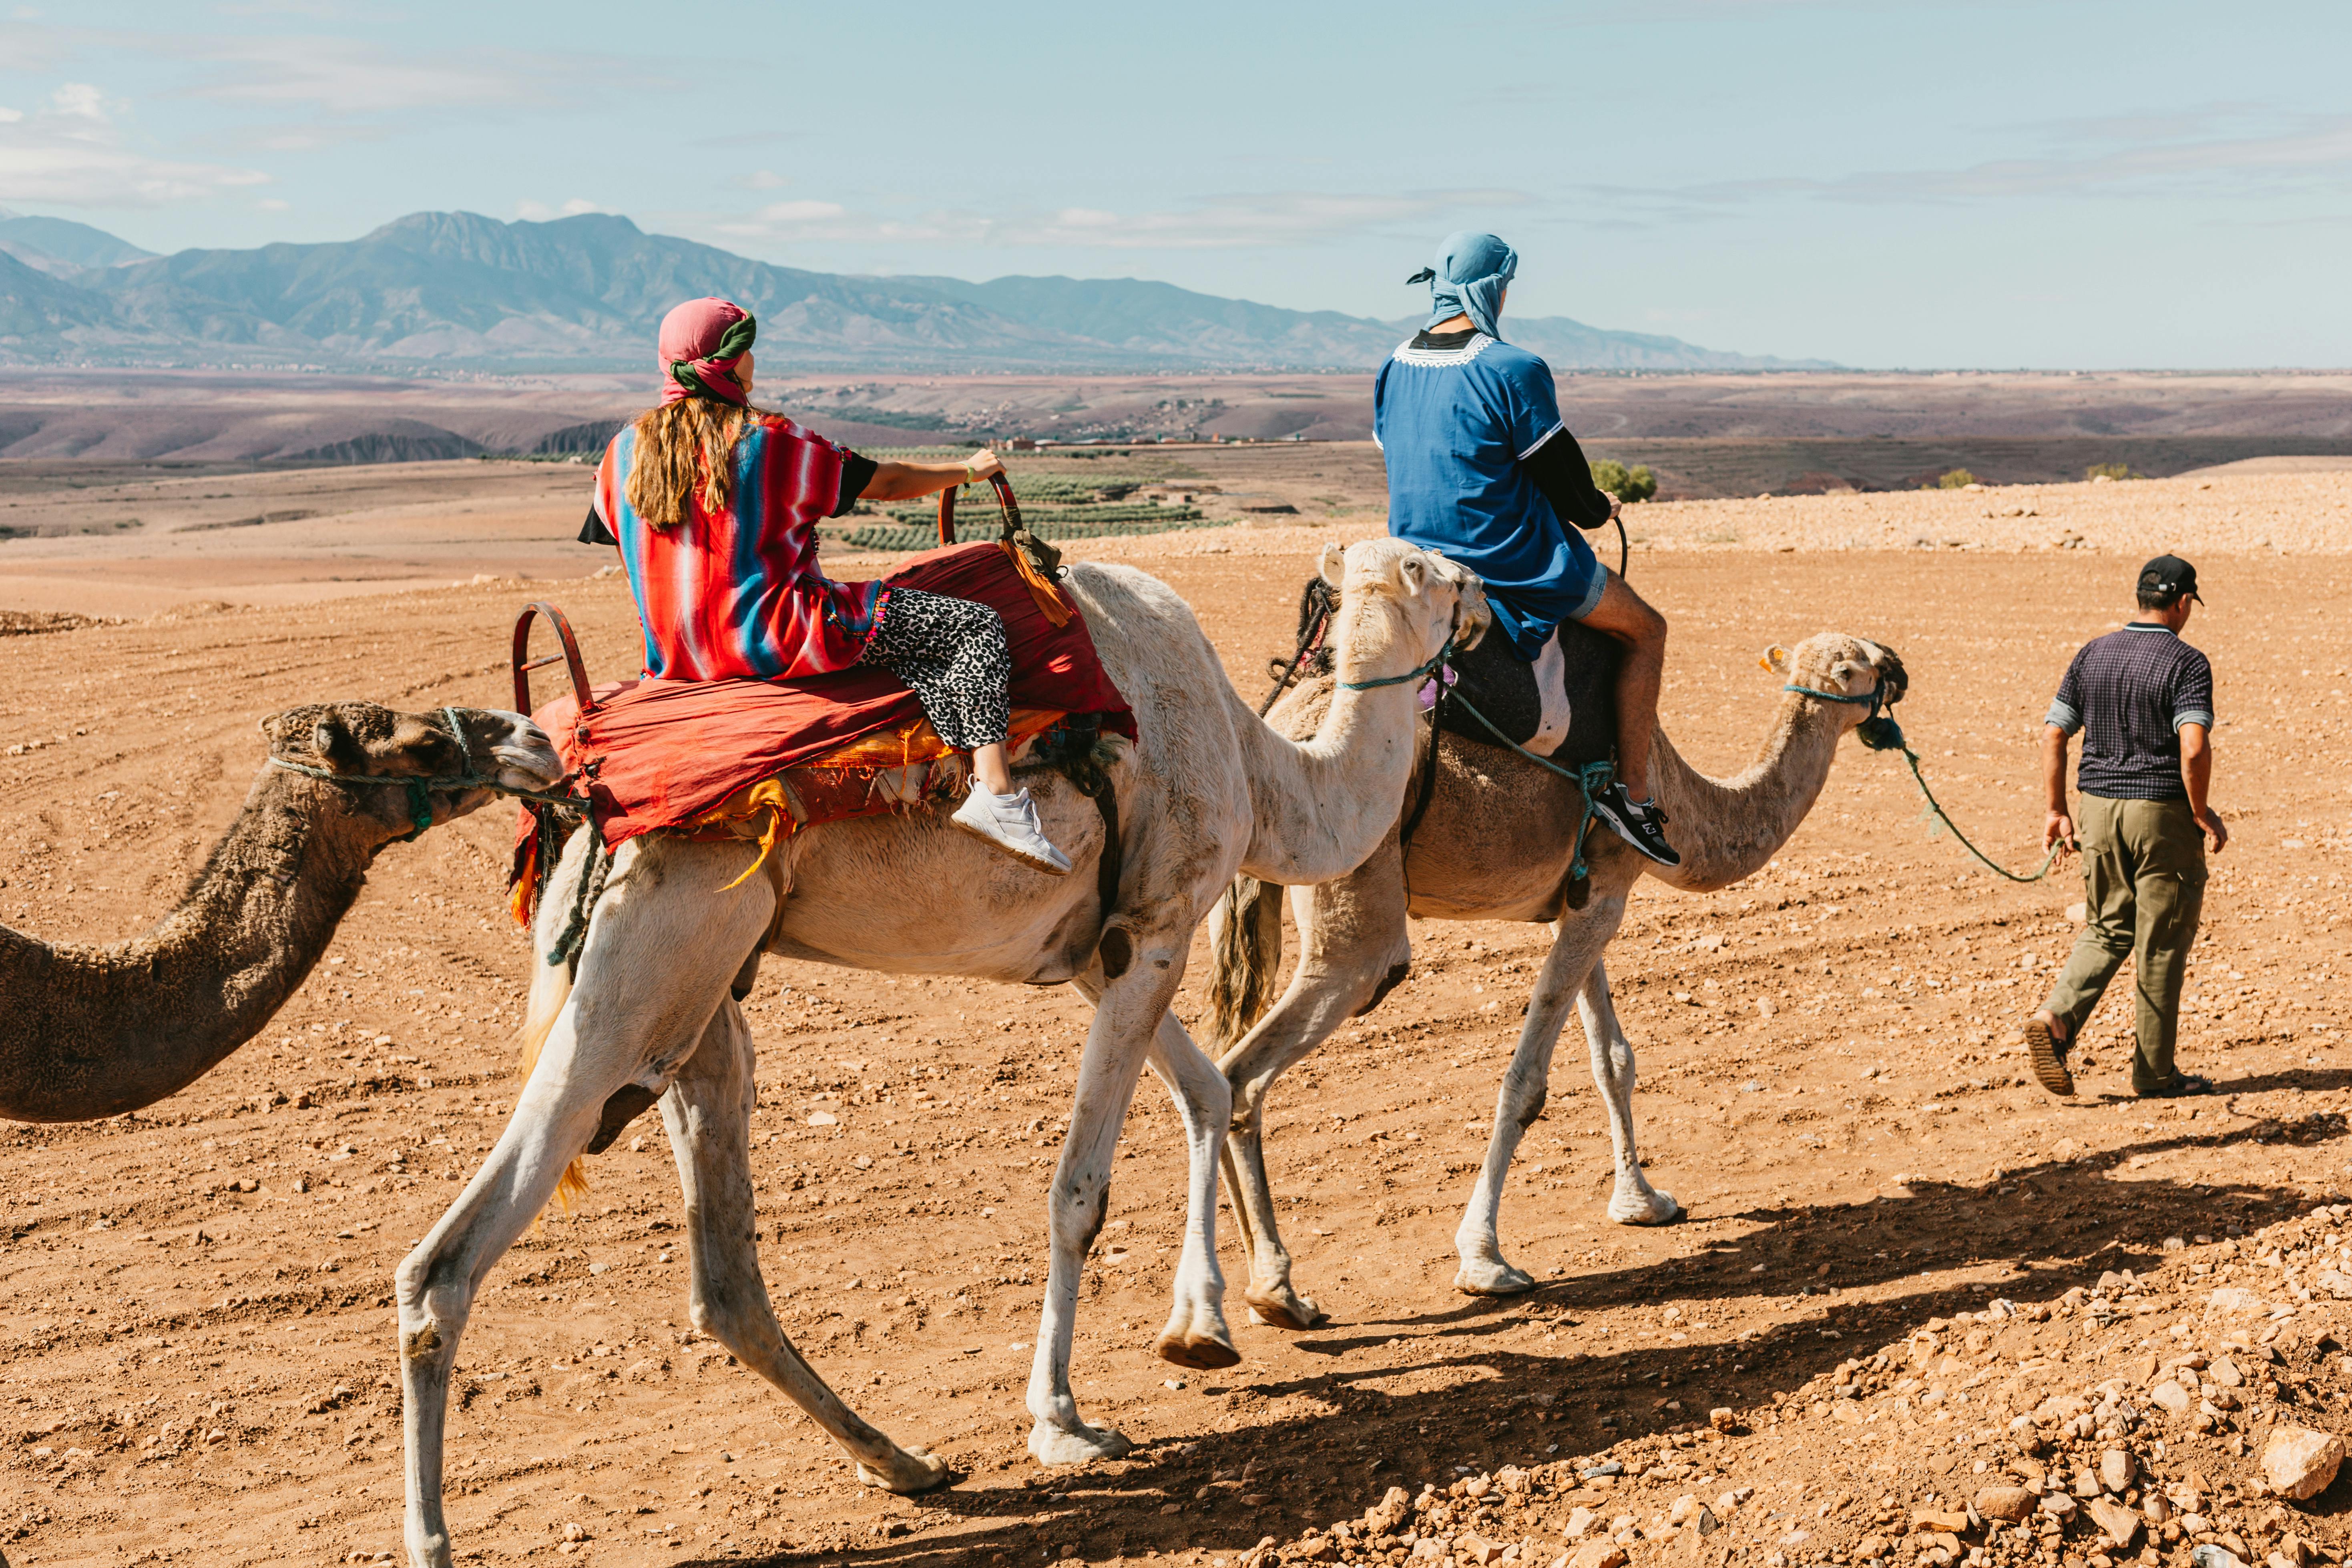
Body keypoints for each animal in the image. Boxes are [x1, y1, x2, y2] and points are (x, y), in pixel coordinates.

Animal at [391, 539, 1489, 1568]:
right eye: (1431, 569)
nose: (1486, 595)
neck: (1264, 773)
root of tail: (580, 796)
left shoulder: (1096, 949)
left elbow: (1209, 1088)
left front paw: (1215, 1318)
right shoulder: (1159, 924)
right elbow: (1080, 1191)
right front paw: (1065, 1419)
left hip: (697, 998)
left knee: (725, 1278)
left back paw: (904, 1461)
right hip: (646, 956)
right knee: (445, 1263)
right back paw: (430, 1534)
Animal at [1204, 631, 1907, 1328]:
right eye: (1859, 666)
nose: (1898, 668)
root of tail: (1283, 727)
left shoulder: (1585, 894)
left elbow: (1611, 1059)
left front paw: (1642, 1201)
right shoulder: (1608, 885)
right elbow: (1527, 1083)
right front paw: (1485, 1261)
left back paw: (1261, 1287)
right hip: (1358, 908)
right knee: (1246, 1072)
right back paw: (1277, 1292)